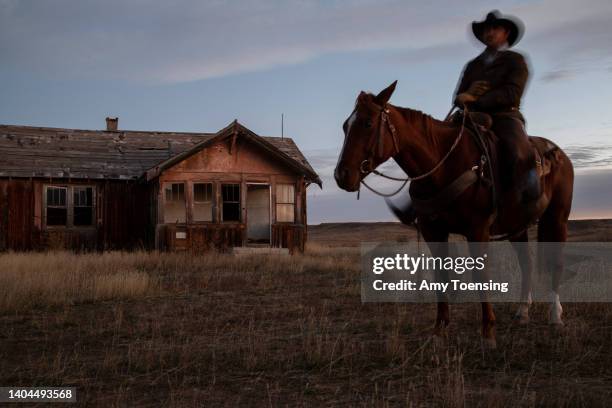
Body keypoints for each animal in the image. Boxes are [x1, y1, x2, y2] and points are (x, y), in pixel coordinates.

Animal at [334, 80, 572, 348]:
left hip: (557, 218)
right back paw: (522, 311)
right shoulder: (433, 232)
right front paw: (440, 330)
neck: (443, 166)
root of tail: (560, 154)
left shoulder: (477, 230)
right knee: (527, 263)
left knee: (556, 262)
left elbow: (480, 276)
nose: (341, 175)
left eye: (367, 123)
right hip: (517, 227)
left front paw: (488, 333)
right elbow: (441, 275)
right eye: (345, 126)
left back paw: (555, 315)